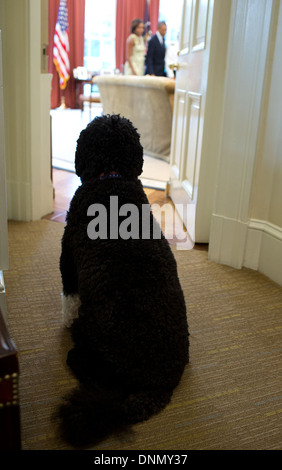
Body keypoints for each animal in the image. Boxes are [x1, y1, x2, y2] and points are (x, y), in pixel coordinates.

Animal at [58, 114, 188, 448]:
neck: (111, 177)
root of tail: (160, 385)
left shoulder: (67, 254)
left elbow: (68, 294)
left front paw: (64, 319)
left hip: (95, 335)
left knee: (93, 371)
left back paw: (75, 356)